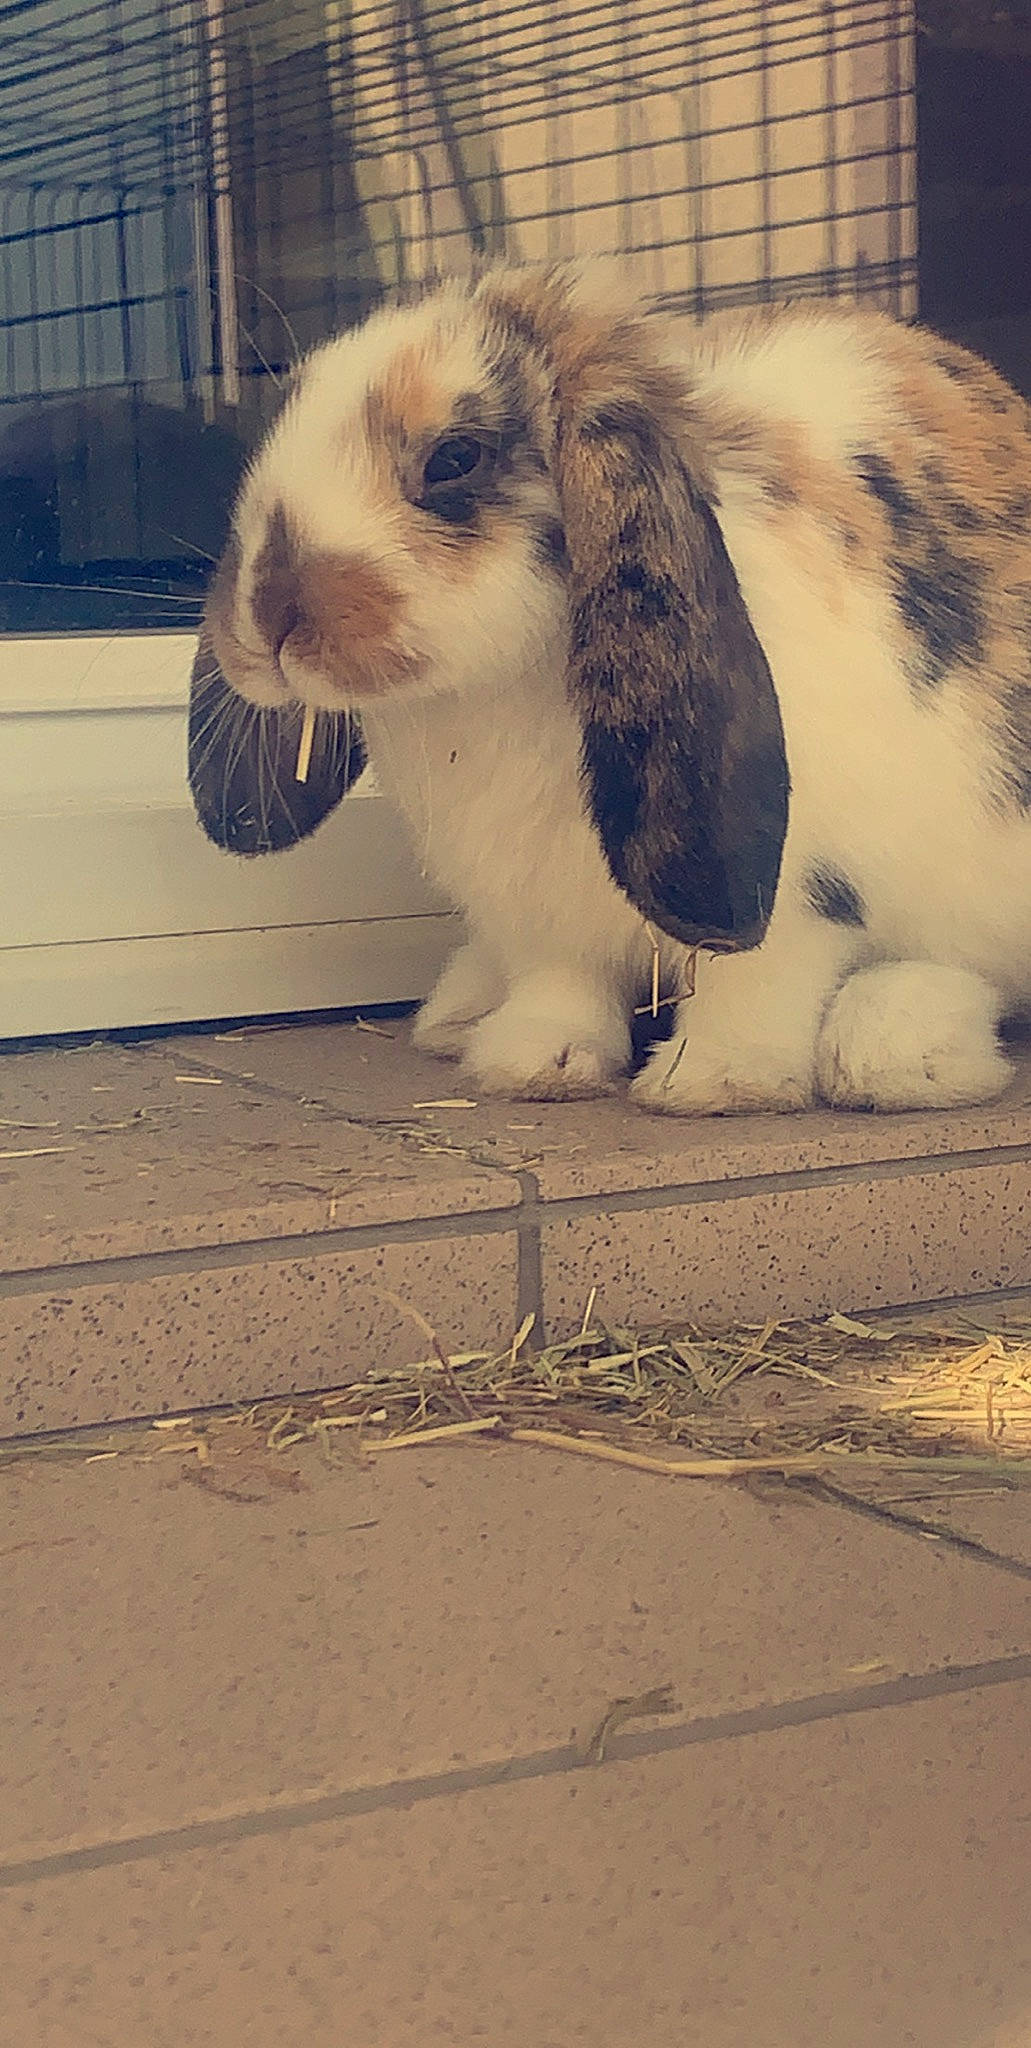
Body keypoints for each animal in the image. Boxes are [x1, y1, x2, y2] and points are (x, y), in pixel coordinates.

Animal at [189, 259, 1031, 1114]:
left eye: (454, 457)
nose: (266, 618)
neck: (492, 695)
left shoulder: (793, 899)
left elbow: (752, 981)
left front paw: (712, 1082)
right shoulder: (537, 912)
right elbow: (560, 985)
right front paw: (535, 1064)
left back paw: (893, 1050)